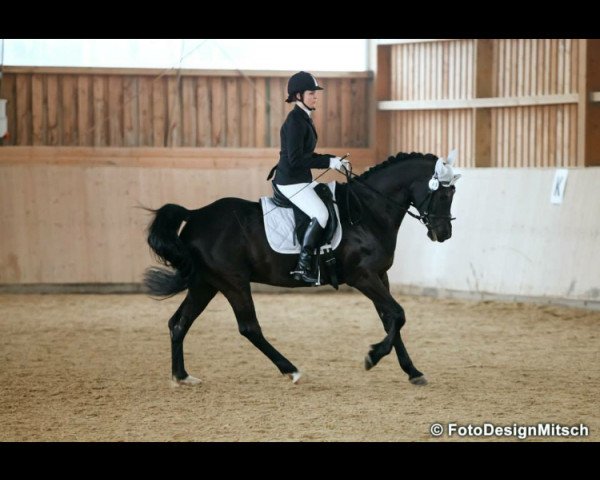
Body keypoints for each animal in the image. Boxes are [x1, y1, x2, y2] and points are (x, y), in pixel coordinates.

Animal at [144, 153, 460, 386]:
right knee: (249, 327)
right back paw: (291, 370)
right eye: (444, 195)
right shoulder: (363, 277)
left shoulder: (381, 276)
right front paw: (372, 356)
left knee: (179, 323)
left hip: (206, 284)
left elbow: (390, 319)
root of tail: (196, 214)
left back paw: (182, 377)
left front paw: (413, 372)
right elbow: (398, 314)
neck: (367, 212)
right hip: (233, 282)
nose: (444, 234)